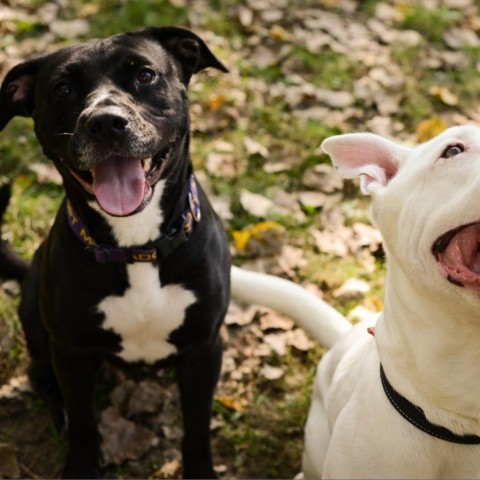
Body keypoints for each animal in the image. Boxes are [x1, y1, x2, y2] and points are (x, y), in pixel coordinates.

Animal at [0, 27, 231, 480]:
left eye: (145, 74)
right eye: (62, 89)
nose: (105, 122)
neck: (135, 248)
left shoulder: (204, 348)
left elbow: (197, 428)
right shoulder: (70, 352)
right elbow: (84, 425)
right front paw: (80, 465)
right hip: (36, 317)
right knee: (41, 376)